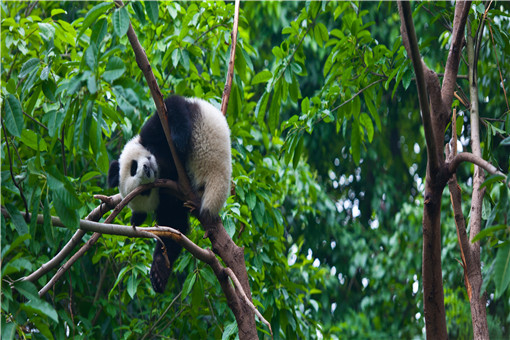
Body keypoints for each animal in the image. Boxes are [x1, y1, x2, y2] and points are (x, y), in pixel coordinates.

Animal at [109, 95, 233, 292]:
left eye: (133, 167)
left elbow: (170, 107)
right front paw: (159, 272)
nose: (147, 169)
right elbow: (174, 227)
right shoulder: (169, 198)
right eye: (144, 191)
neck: (162, 165)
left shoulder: (152, 134)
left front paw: (178, 140)